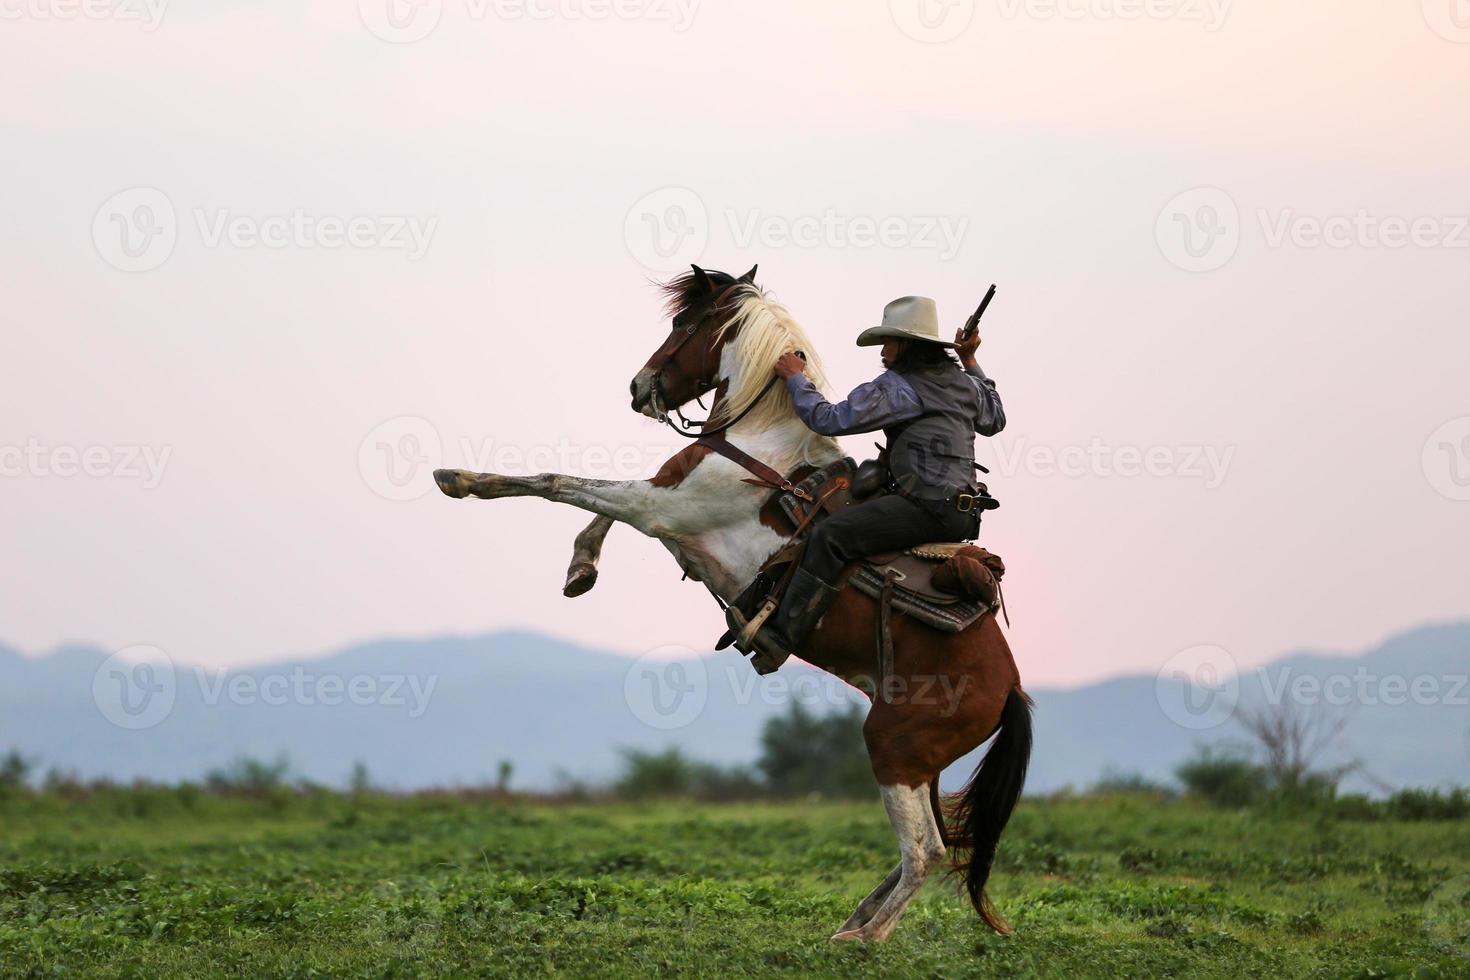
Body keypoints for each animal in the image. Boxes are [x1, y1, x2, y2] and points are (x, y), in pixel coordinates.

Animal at [432, 264, 1034, 940]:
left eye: (682, 324)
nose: (639, 387)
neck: (761, 438)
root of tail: (1010, 688)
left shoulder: (661, 507)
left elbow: (564, 484)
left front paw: (462, 480)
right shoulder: (666, 506)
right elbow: (597, 504)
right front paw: (580, 568)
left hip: (894, 747)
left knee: (925, 849)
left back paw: (862, 939)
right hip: (920, 761)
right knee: (932, 843)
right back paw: (854, 919)